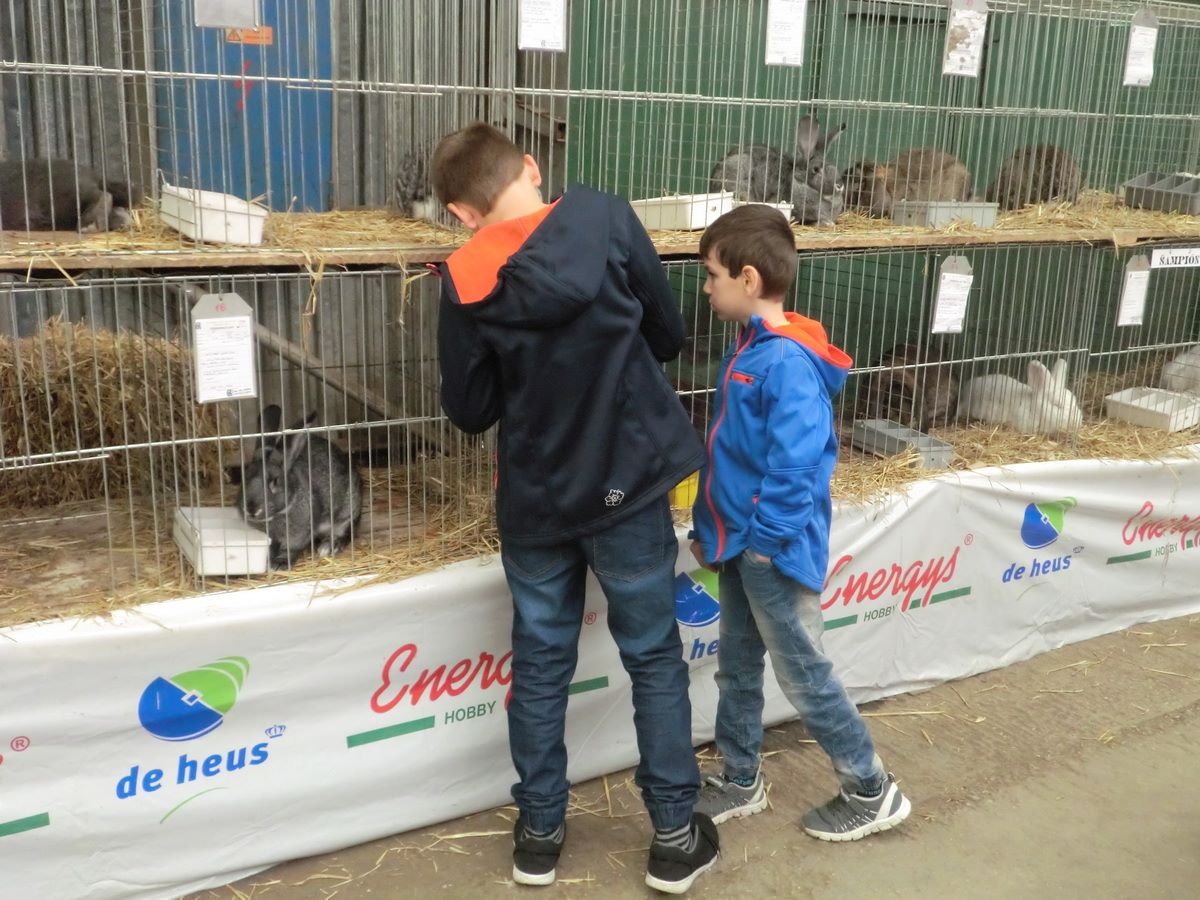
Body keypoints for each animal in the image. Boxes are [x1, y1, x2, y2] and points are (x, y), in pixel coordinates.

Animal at [238, 404, 364, 570]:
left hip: (347, 511)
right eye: (243, 477)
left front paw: (280, 564)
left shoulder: (300, 533)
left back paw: (328, 547)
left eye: (275, 481)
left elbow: (290, 548)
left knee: (345, 532)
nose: (252, 509)